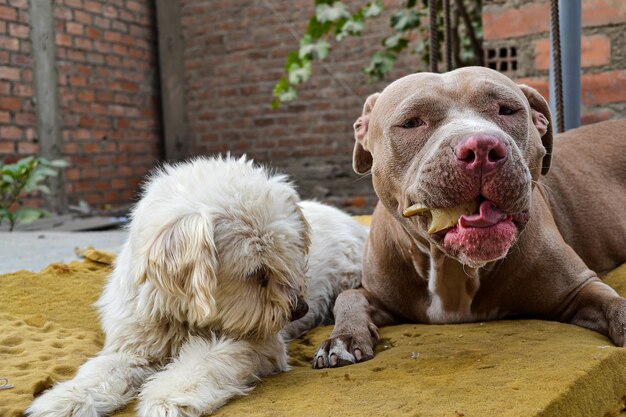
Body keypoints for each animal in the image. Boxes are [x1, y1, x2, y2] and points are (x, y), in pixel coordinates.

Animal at [26, 156, 364, 416]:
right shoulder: (134, 347)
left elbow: (206, 360)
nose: (300, 310)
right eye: (256, 272)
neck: (184, 312)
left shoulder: (259, 343)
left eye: (291, 258)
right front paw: (66, 398)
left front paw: (168, 397)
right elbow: (101, 371)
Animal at [314, 66, 624, 368]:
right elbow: (348, 296)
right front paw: (343, 337)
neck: (451, 267)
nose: (482, 148)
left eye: (506, 110)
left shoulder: (580, 287)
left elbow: (617, 307)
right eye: (412, 123)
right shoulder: (379, 295)